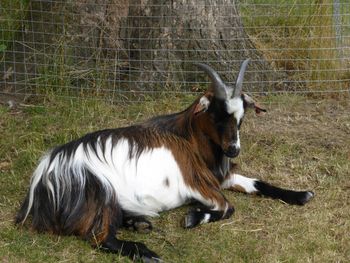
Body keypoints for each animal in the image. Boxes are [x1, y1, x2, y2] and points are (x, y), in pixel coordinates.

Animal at [15, 58, 314, 262]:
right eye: (216, 114)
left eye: (242, 116)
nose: (233, 150)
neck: (190, 138)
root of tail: (43, 176)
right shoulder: (198, 181)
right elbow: (228, 208)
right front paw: (193, 218)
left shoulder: (219, 175)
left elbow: (257, 183)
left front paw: (302, 195)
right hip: (100, 190)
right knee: (99, 238)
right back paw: (147, 252)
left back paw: (137, 223)